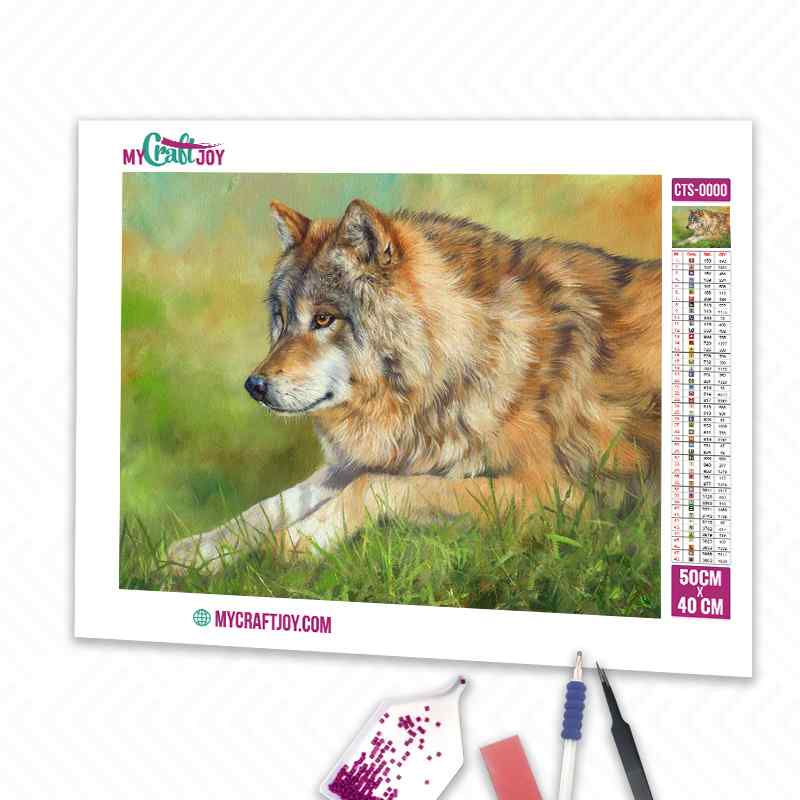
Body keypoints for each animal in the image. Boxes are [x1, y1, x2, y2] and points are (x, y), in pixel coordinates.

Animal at [167, 198, 661, 574]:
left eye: (324, 318)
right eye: (282, 320)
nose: (254, 385)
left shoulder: (561, 496)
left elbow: (377, 486)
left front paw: (303, 540)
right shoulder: (378, 458)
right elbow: (272, 504)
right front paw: (197, 552)